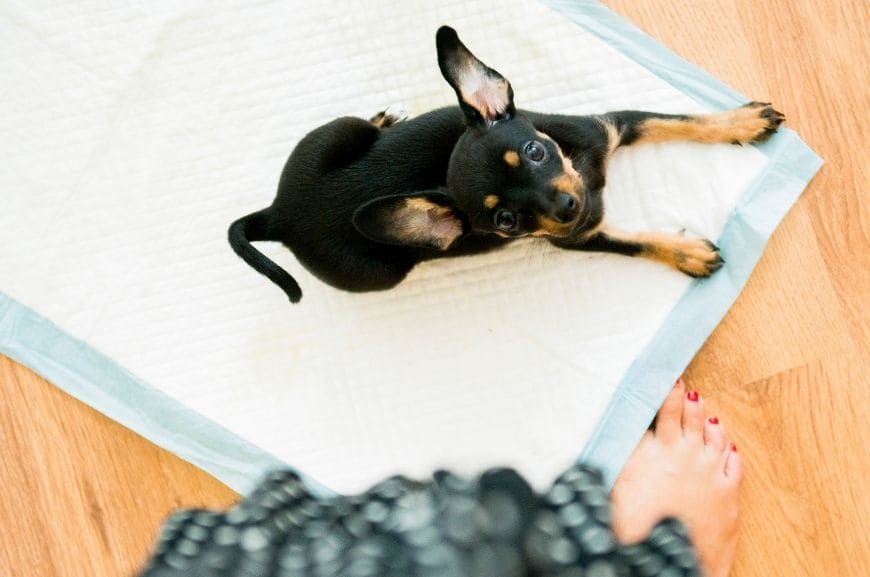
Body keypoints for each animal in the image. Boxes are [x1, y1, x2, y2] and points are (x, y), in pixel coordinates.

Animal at [228, 24, 788, 304]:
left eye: (536, 152)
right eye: (505, 221)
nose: (568, 205)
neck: (586, 170)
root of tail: (278, 214)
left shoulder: (615, 125)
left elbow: (681, 120)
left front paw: (741, 123)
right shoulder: (581, 238)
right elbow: (635, 241)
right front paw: (686, 253)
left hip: (336, 132)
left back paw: (384, 119)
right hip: (378, 273)